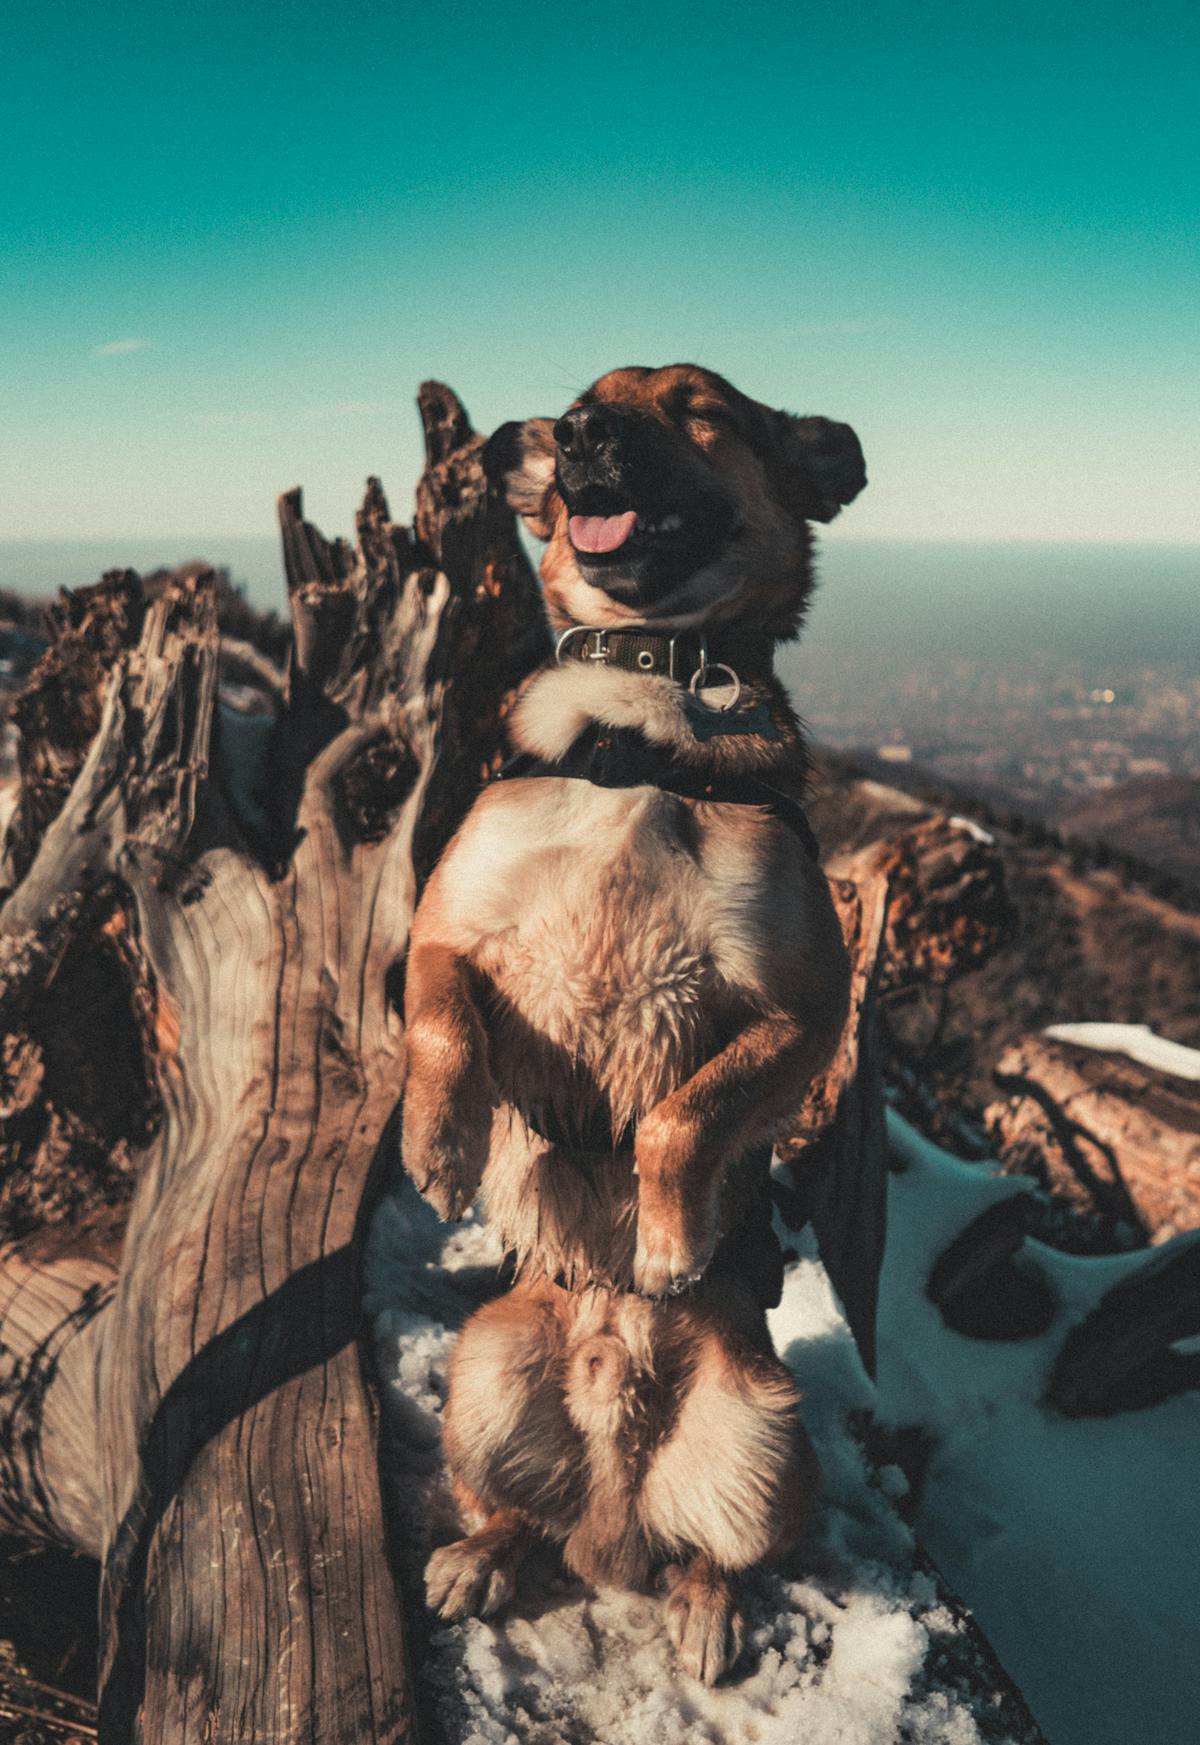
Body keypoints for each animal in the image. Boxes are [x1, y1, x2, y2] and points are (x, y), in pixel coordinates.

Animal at [401, 361, 861, 1682]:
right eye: (580, 402)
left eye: (702, 409)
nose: (581, 436)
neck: (642, 710)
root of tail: (612, 1512)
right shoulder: (444, 933)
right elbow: (446, 1031)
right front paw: (442, 1143)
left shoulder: (802, 1006)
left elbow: (677, 1117)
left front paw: (663, 1241)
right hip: (483, 1370)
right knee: (514, 1510)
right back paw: (481, 1554)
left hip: (768, 1434)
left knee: (720, 1550)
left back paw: (707, 1611)